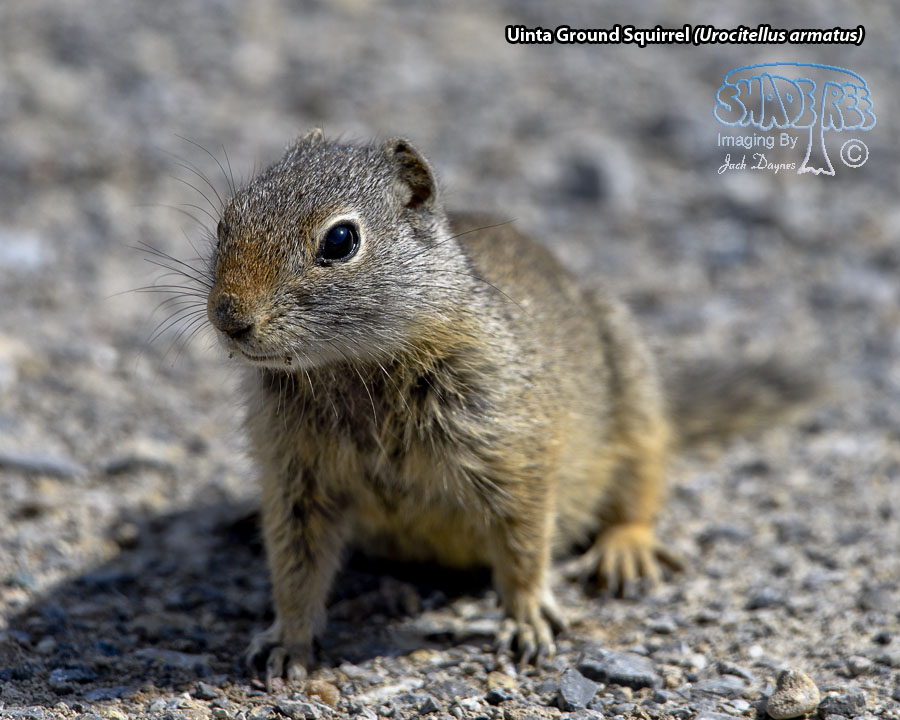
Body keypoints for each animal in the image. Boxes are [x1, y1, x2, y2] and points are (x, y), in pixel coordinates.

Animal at [201, 129, 810, 684]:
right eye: (226, 221)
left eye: (341, 240)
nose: (229, 318)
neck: (350, 368)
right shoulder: (294, 478)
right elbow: (295, 566)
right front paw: (286, 640)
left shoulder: (514, 448)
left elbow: (523, 540)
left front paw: (527, 618)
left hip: (635, 397)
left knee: (641, 481)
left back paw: (626, 549)